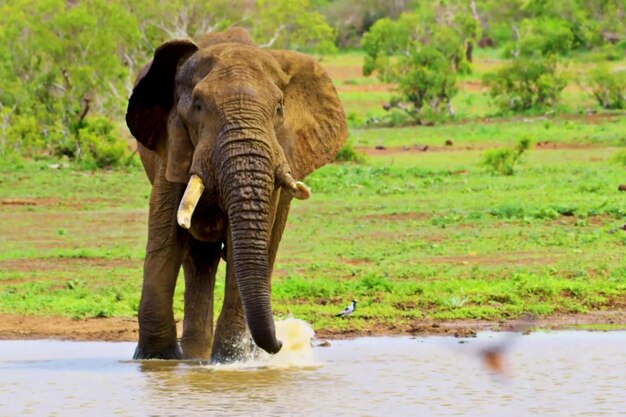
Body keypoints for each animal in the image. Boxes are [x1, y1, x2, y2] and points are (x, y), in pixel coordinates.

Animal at [122, 26, 346, 360]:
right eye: (198, 106)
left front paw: (232, 360)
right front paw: (156, 359)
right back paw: (194, 357)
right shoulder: (171, 146)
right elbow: (166, 234)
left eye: (279, 108)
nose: (284, 341)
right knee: (198, 259)